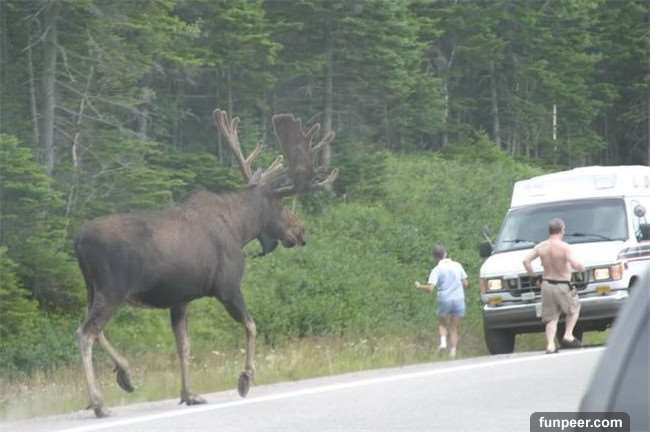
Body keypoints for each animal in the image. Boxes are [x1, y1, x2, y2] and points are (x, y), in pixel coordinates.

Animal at [73, 108, 337, 418]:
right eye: (283, 205)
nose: (301, 232)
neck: (240, 228)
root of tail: (78, 240)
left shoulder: (180, 299)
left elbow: (184, 345)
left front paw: (189, 394)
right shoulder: (228, 287)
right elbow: (251, 325)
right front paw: (245, 378)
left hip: (93, 289)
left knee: (90, 329)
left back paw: (124, 374)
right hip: (113, 290)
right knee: (86, 332)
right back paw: (99, 403)